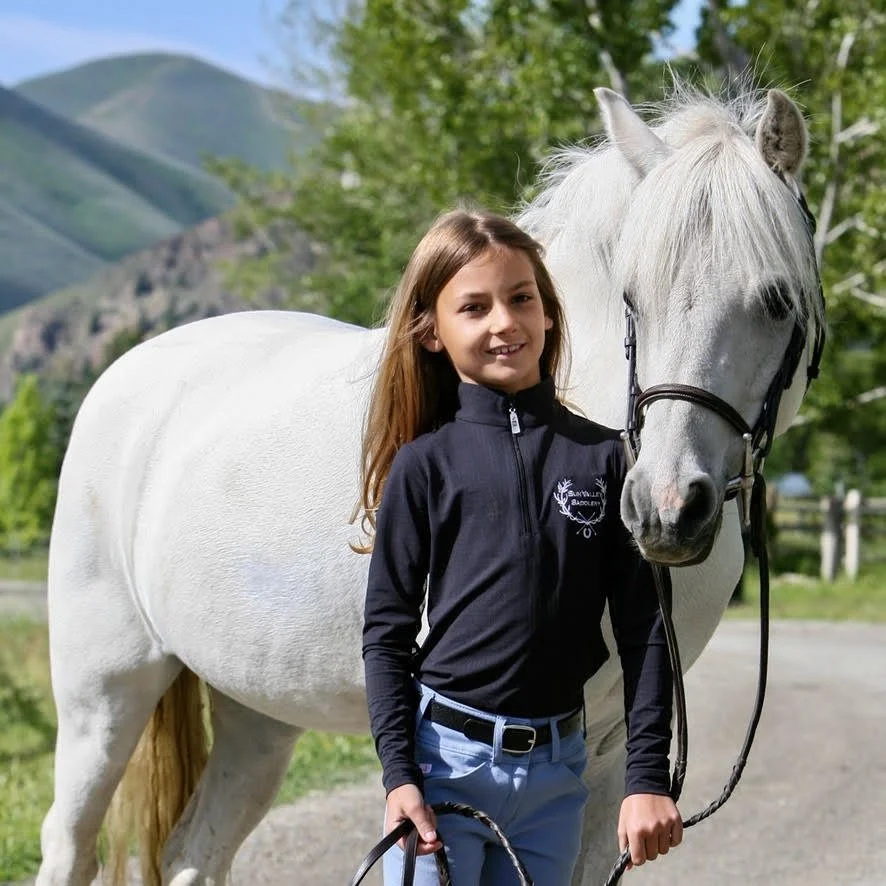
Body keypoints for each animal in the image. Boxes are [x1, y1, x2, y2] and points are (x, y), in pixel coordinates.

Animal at [36, 83, 823, 886]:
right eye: (632, 297)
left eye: (777, 301)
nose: (664, 510)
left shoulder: (607, 755)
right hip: (104, 692)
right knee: (70, 842)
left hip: (257, 710)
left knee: (196, 852)